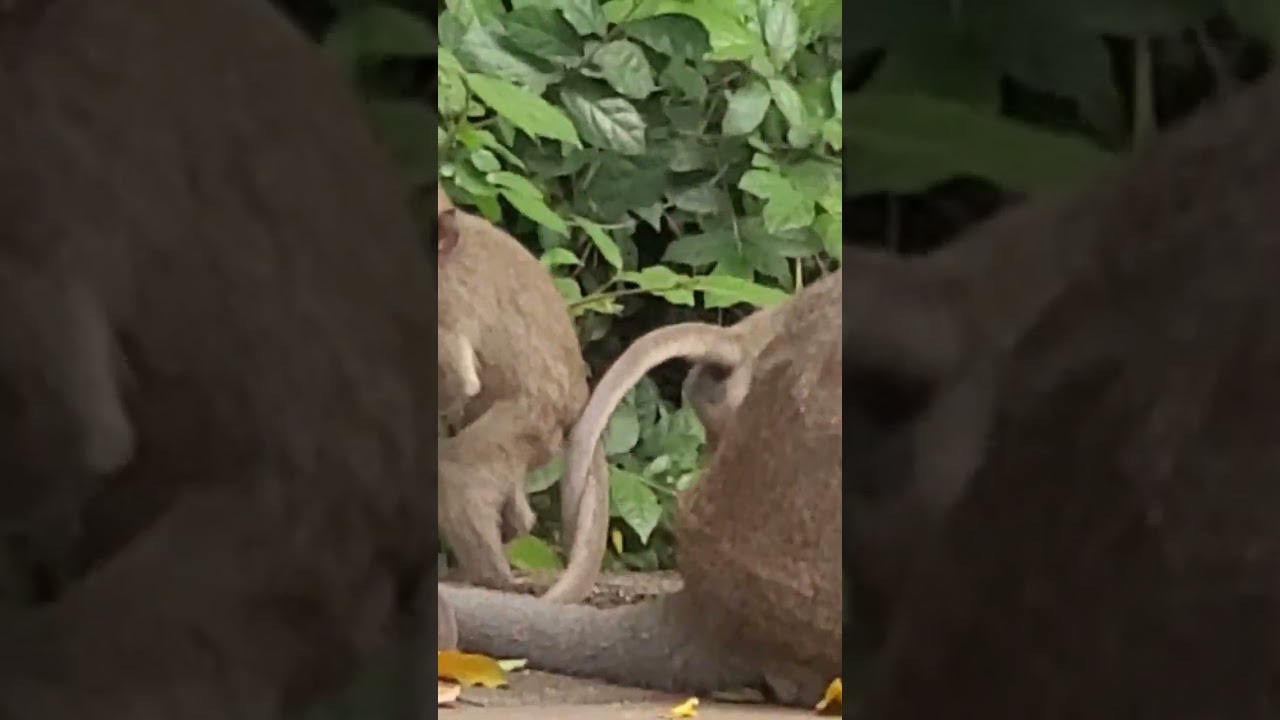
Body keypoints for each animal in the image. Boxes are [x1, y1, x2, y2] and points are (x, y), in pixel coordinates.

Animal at [435, 187, 609, 604]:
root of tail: (579, 398)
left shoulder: (444, 303)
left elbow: (457, 380)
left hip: (531, 420)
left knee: (458, 469)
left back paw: (487, 577)